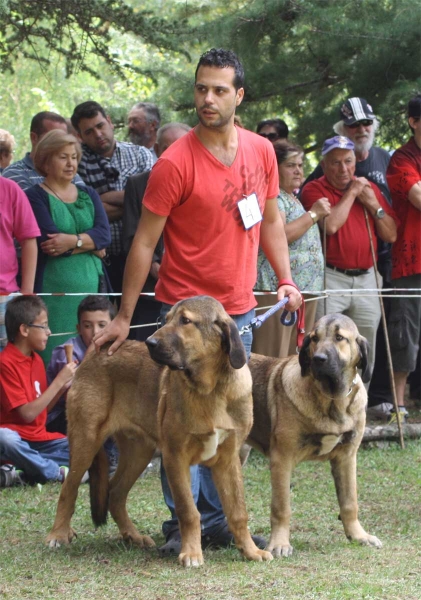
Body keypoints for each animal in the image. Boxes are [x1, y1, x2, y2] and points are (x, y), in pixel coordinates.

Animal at [46, 296, 272, 568]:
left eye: (185, 321)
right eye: (166, 319)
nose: (150, 343)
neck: (211, 389)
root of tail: (96, 352)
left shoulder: (228, 459)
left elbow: (238, 511)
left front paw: (250, 551)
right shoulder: (176, 457)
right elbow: (188, 511)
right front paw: (191, 553)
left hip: (138, 452)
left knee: (115, 493)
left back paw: (133, 536)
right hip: (85, 441)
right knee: (68, 490)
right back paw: (58, 534)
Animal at [248, 314, 382, 556]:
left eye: (339, 338)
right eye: (314, 339)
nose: (318, 359)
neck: (332, 400)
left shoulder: (347, 457)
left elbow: (350, 502)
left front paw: (359, 536)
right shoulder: (281, 459)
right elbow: (281, 506)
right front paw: (280, 544)